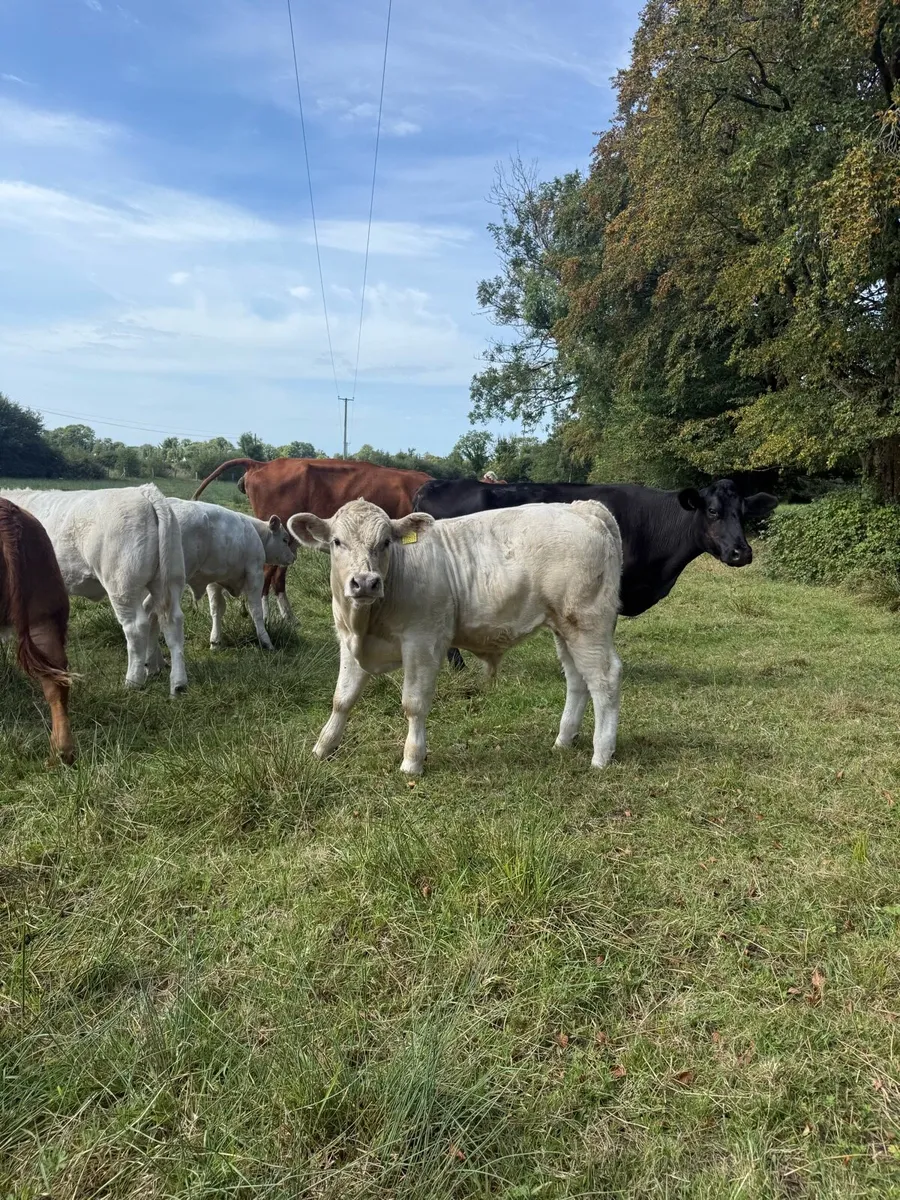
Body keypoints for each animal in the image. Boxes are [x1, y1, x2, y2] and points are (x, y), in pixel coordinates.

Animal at [0, 485, 188, 696]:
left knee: (136, 627)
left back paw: (133, 681)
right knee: (172, 622)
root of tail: (144, 491)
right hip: (170, 579)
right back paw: (178, 684)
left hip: (122, 584)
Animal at [142, 498, 296, 663]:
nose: (293, 557)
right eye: (285, 539)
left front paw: (215, 641)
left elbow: (217, 609)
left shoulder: (214, 581)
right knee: (150, 610)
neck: (254, 532)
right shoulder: (255, 575)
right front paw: (266, 641)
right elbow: (256, 610)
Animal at [192, 458, 432, 626]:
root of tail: (262, 464)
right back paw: (266, 618)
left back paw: (289, 617)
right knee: (267, 574)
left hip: (288, 543)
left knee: (278, 577)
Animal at [287, 498, 623, 776]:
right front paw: (323, 747)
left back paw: (601, 755)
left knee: (604, 679)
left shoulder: (423, 641)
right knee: (577, 679)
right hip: (564, 628)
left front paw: (412, 761)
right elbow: (341, 699)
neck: (366, 623)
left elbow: (414, 703)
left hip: (587, 624)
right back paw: (564, 740)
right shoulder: (348, 642)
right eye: (336, 541)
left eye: (385, 542)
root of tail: (582, 507)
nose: (366, 582)